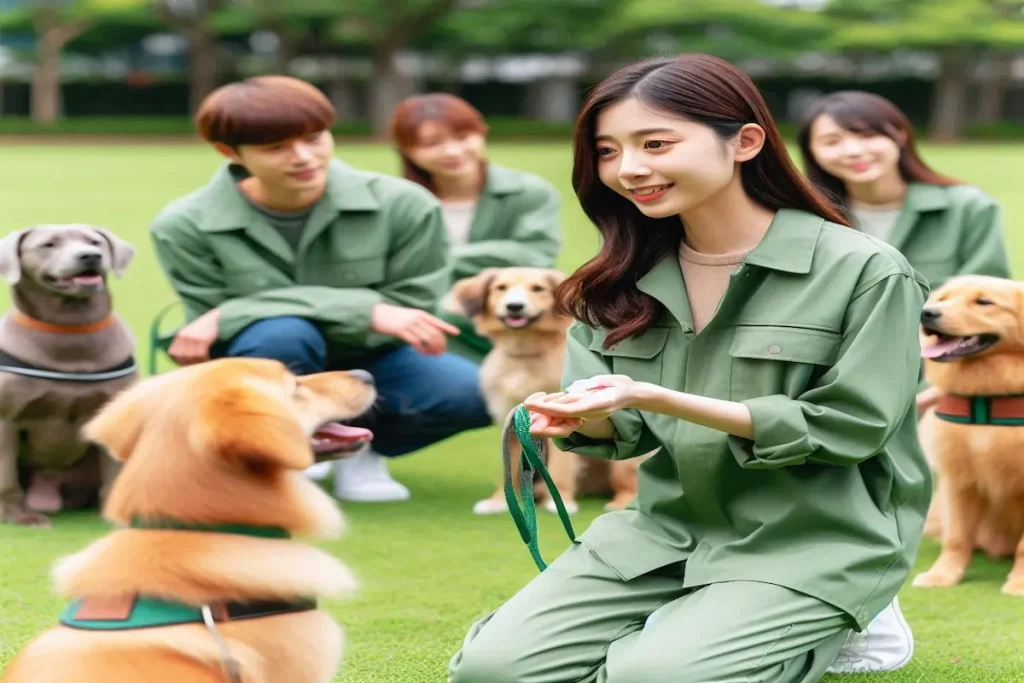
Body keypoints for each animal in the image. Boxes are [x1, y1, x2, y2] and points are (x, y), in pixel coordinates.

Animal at [0, 224, 139, 528]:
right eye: (49, 244)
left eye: (95, 242)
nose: (89, 256)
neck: (70, 332)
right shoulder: (5, 418)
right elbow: (6, 475)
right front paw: (20, 517)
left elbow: (115, 471)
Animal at [448, 270, 638, 516]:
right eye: (501, 287)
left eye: (537, 289)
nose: (515, 306)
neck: (526, 355)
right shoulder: (511, 426)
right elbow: (508, 470)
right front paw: (497, 502)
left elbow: (560, 470)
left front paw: (561, 501)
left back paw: (619, 503)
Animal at [913, 274, 1024, 593]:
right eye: (943, 298)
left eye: (984, 302)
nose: (927, 313)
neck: (986, 398)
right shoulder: (959, 479)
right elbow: (957, 537)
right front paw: (943, 575)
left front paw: (1019, 583)